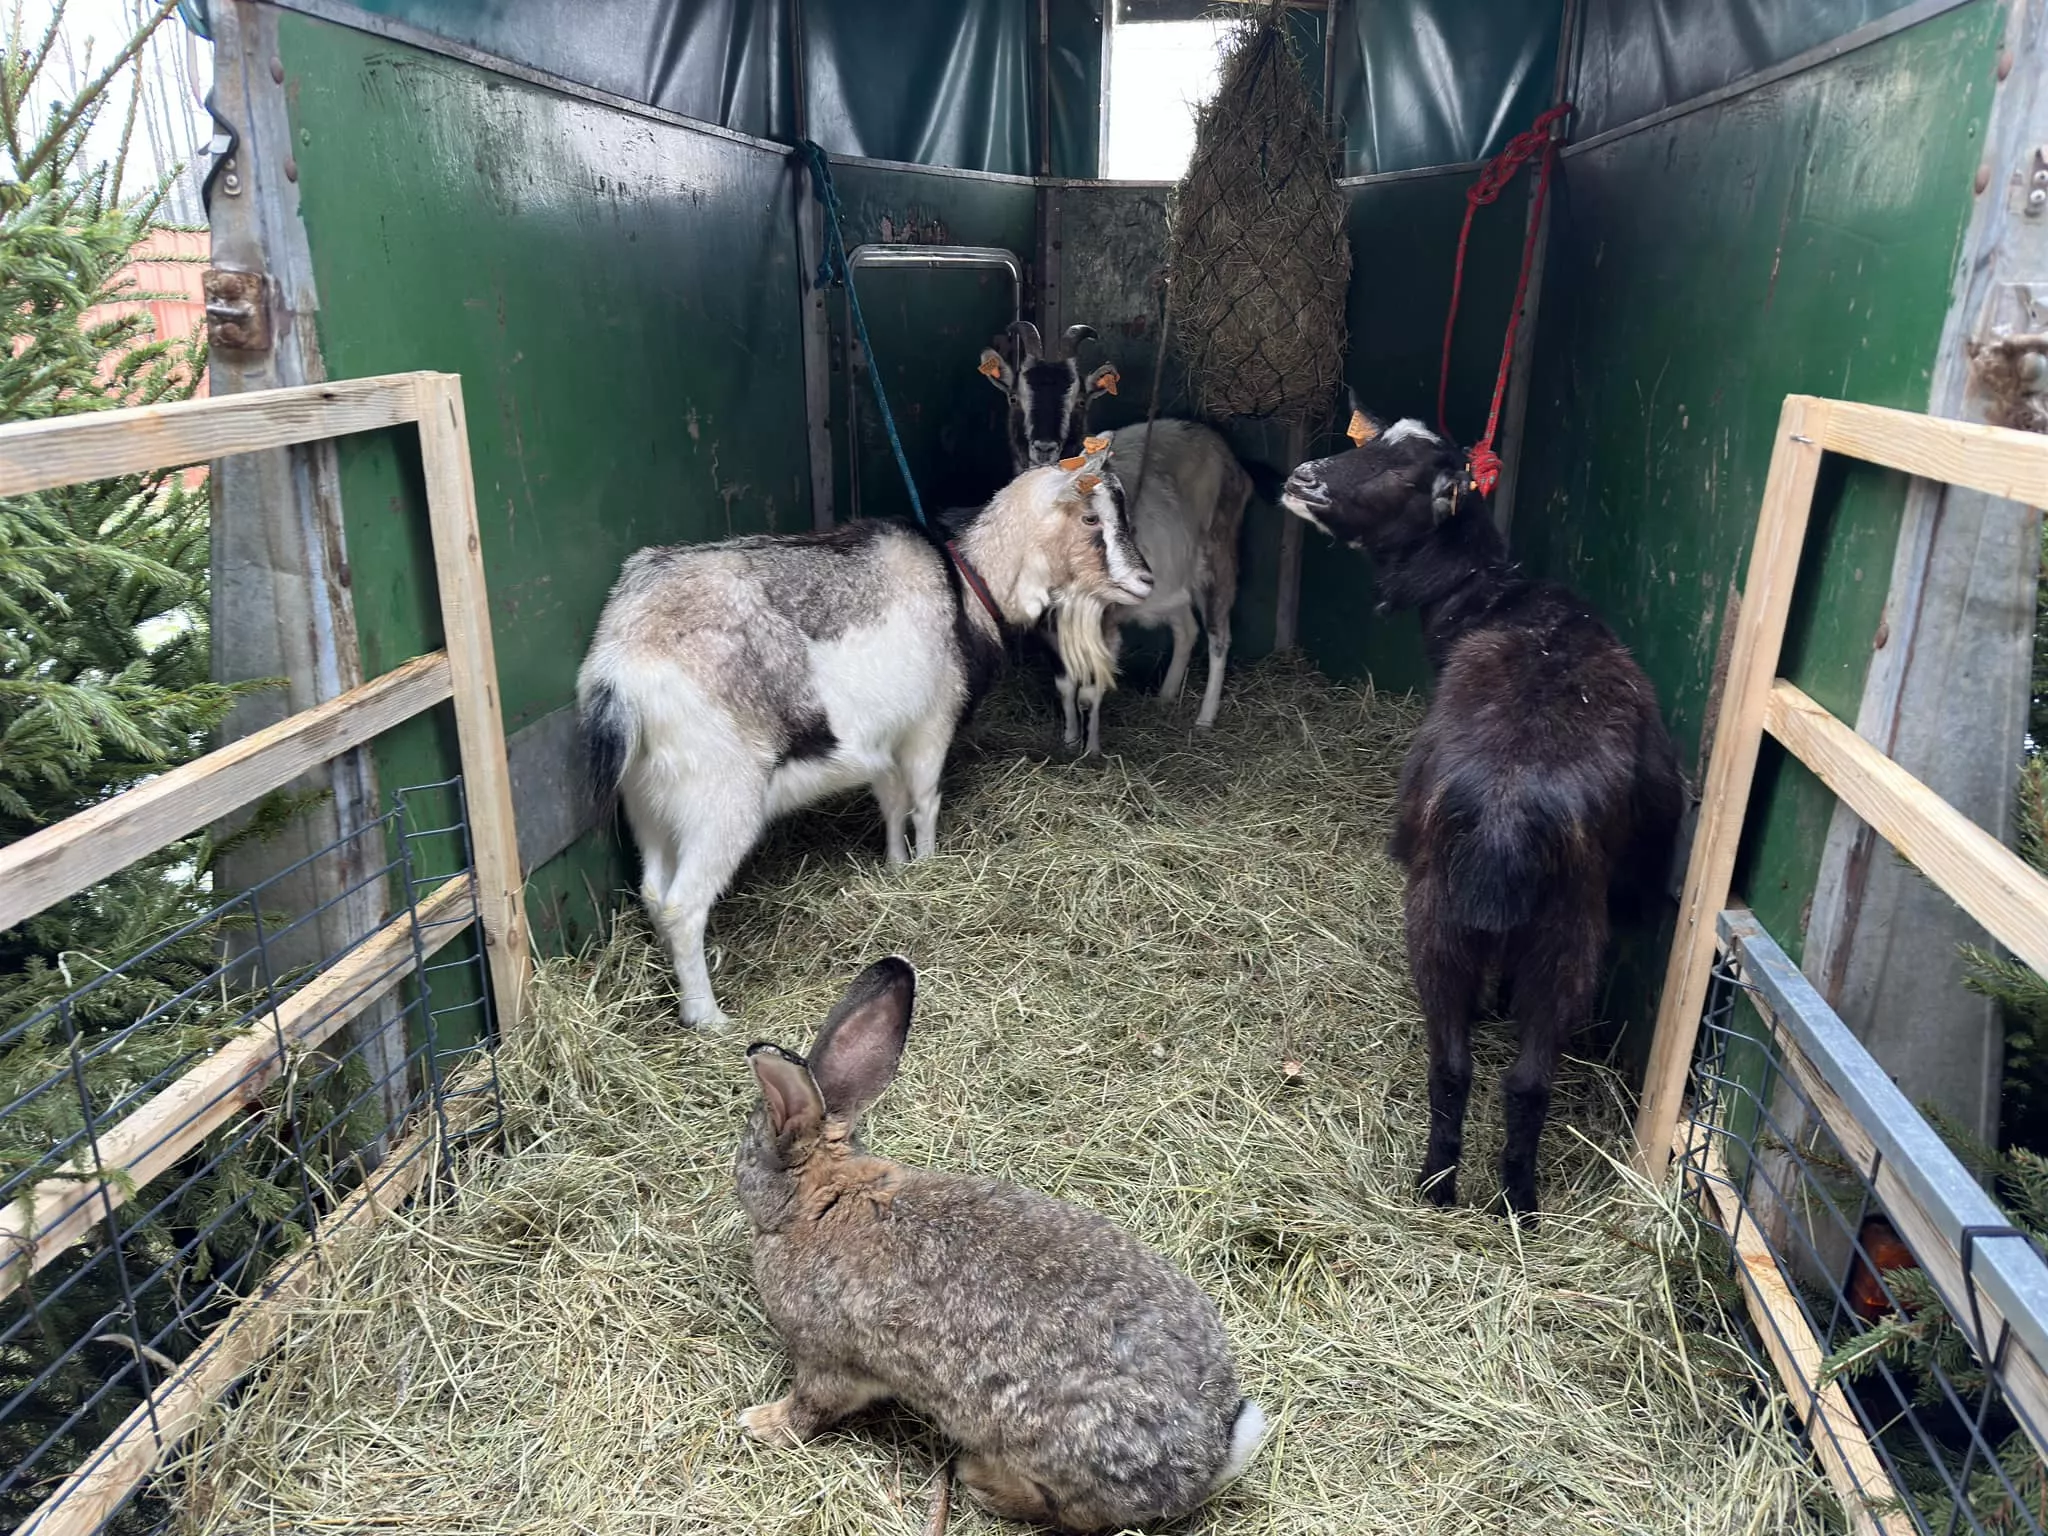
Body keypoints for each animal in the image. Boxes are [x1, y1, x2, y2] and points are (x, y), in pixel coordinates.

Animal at [577, 449, 1152, 1027]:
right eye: (1091, 518)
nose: (1146, 580)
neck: (969, 584)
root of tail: (620, 665)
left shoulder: (883, 743)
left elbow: (892, 803)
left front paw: (896, 866)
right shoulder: (930, 723)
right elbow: (925, 800)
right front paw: (928, 865)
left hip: (649, 798)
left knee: (654, 892)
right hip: (720, 799)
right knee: (683, 904)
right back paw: (708, 1017)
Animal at [733, 956, 1268, 1532]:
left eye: (746, 1155)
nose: (733, 1175)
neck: (824, 1198)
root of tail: (1207, 1461)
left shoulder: (827, 1358)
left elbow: (811, 1406)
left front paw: (759, 1423)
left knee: (1067, 1511)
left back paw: (978, 1478)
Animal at [977, 322, 1253, 754]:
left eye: (1080, 401)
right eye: (1013, 396)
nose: (1045, 447)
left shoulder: (1105, 614)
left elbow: (1091, 688)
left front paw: (1092, 749)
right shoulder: (1051, 616)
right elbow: (1065, 683)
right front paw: (1070, 740)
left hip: (1219, 555)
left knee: (1218, 634)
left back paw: (1205, 719)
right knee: (1185, 628)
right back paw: (1165, 698)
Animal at [1279, 411, 1683, 1219]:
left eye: (1406, 474)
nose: (1302, 479)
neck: (1494, 599)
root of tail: (1506, 813)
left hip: (1442, 919)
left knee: (1452, 1064)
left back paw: (1437, 1183)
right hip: (1563, 940)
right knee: (1523, 1081)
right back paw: (1512, 1199)